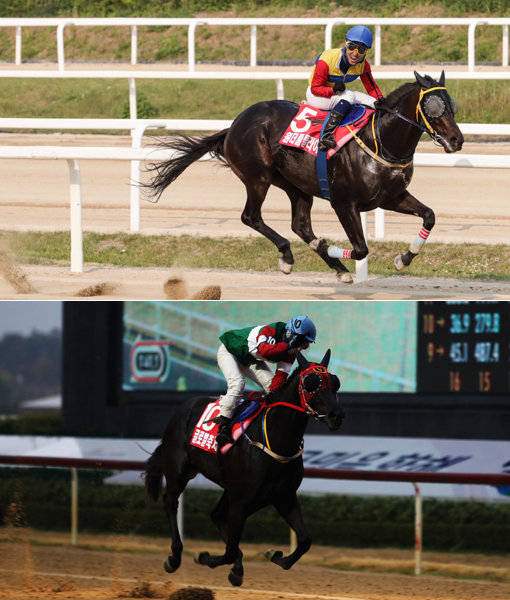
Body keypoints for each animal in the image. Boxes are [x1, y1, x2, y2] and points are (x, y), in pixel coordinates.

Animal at [143, 346, 342, 584]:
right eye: (311, 382)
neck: (274, 440)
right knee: (171, 503)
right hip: (178, 472)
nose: (336, 416)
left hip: (229, 487)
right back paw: (174, 557)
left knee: (216, 515)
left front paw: (274, 555)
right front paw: (205, 557)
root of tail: (181, 410)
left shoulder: (282, 496)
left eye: (335, 382)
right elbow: (228, 551)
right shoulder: (242, 499)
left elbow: (304, 541)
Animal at [145, 71, 464, 282]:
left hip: (296, 186)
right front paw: (332, 249)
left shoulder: (391, 197)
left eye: (451, 104)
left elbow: (429, 216)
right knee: (251, 217)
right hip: (258, 178)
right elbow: (360, 249)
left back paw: (333, 265)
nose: (457, 139)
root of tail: (235, 124)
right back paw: (290, 256)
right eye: (433, 106)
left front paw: (403, 258)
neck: (379, 140)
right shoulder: (344, 203)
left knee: (300, 225)